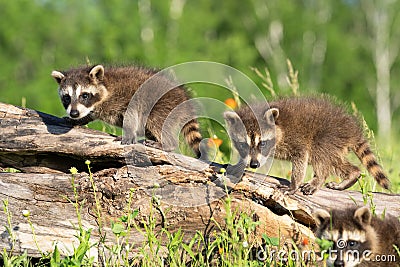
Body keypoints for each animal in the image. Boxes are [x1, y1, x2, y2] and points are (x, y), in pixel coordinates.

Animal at [51, 65, 202, 157]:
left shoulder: (128, 98)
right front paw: (80, 119)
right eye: (67, 97)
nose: (74, 113)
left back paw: (167, 143)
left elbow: (131, 115)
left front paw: (128, 133)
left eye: (84, 95)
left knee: (157, 122)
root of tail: (184, 99)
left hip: (164, 104)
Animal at [223, 96, 390, 195]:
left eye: (263, 143)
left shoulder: (298, 140)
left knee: (321, 157)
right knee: (335, 162)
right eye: (243, 145)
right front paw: (240, 163)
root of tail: (352, 129)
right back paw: (353, 173)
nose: (254, 164)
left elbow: (301, 159)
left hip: (327, 136)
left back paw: (319, 179)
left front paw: (294, 184)